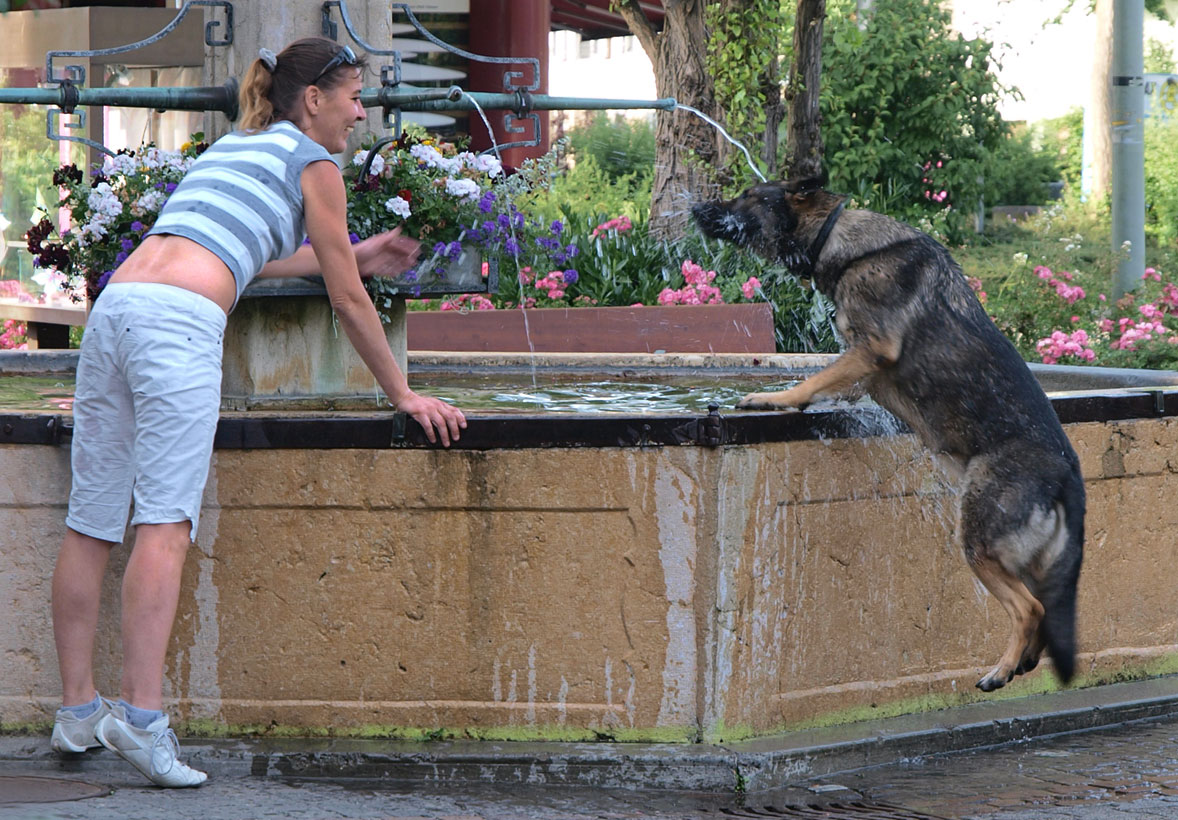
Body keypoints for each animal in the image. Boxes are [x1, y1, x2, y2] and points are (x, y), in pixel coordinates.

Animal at [687, 179, 1083, 692]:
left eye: (748, 196)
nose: (697, 206)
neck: (837, 239)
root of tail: (1066, 473)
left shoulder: (870, 350)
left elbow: (815, 379)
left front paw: (774, 398)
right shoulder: (862, 372)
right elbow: (829, 382)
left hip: (979, 540)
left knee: (1029, 608)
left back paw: (1000, 669)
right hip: (1023, 556)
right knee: (1043, 608)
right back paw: (1024, 660)